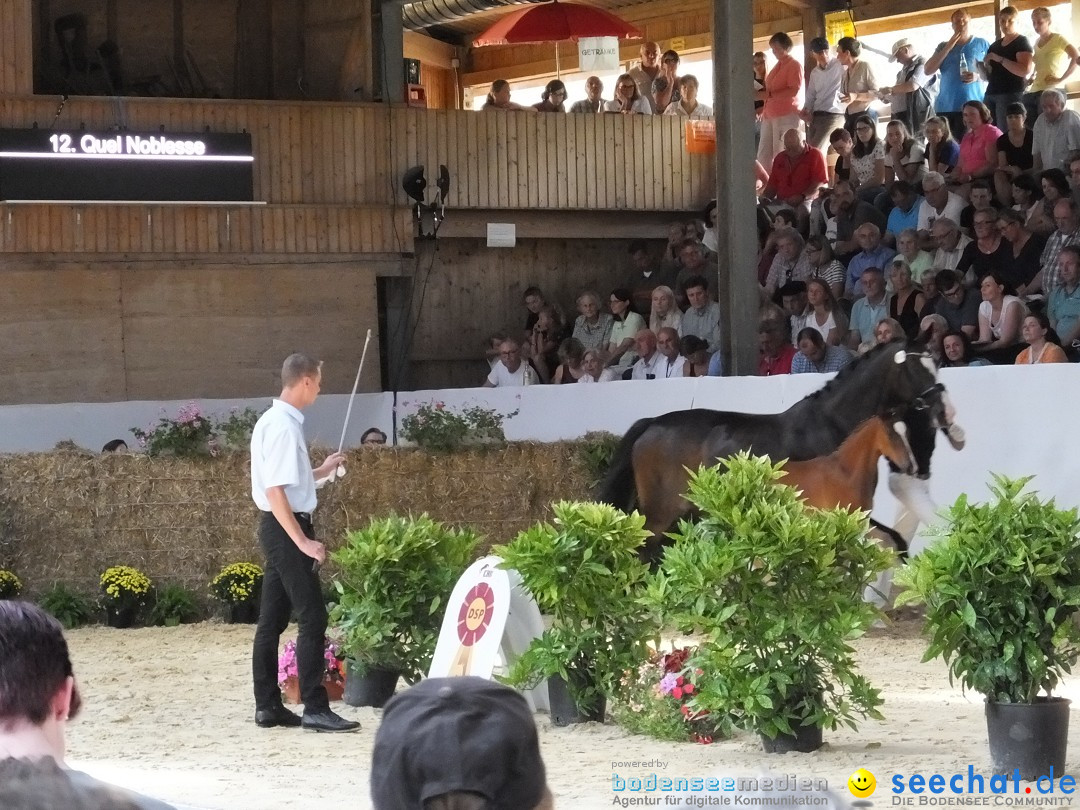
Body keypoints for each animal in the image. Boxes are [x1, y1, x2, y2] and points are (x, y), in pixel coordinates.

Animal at [600, 343, 954, 565]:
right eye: (916, 370)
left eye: (936, 367)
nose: (944, 410)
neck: (831, 424)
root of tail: (651, 424)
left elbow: (896, 541)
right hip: (662, 511)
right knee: (645, 548)